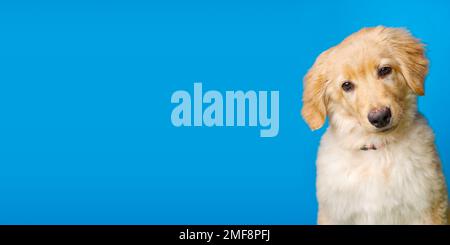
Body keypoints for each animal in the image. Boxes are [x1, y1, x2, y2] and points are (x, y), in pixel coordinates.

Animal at [302, 26, 446, 224]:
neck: (377, 149)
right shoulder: (334, 214)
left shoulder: (429, 207)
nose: (380, 117)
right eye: (346, 85)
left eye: (384, 70)